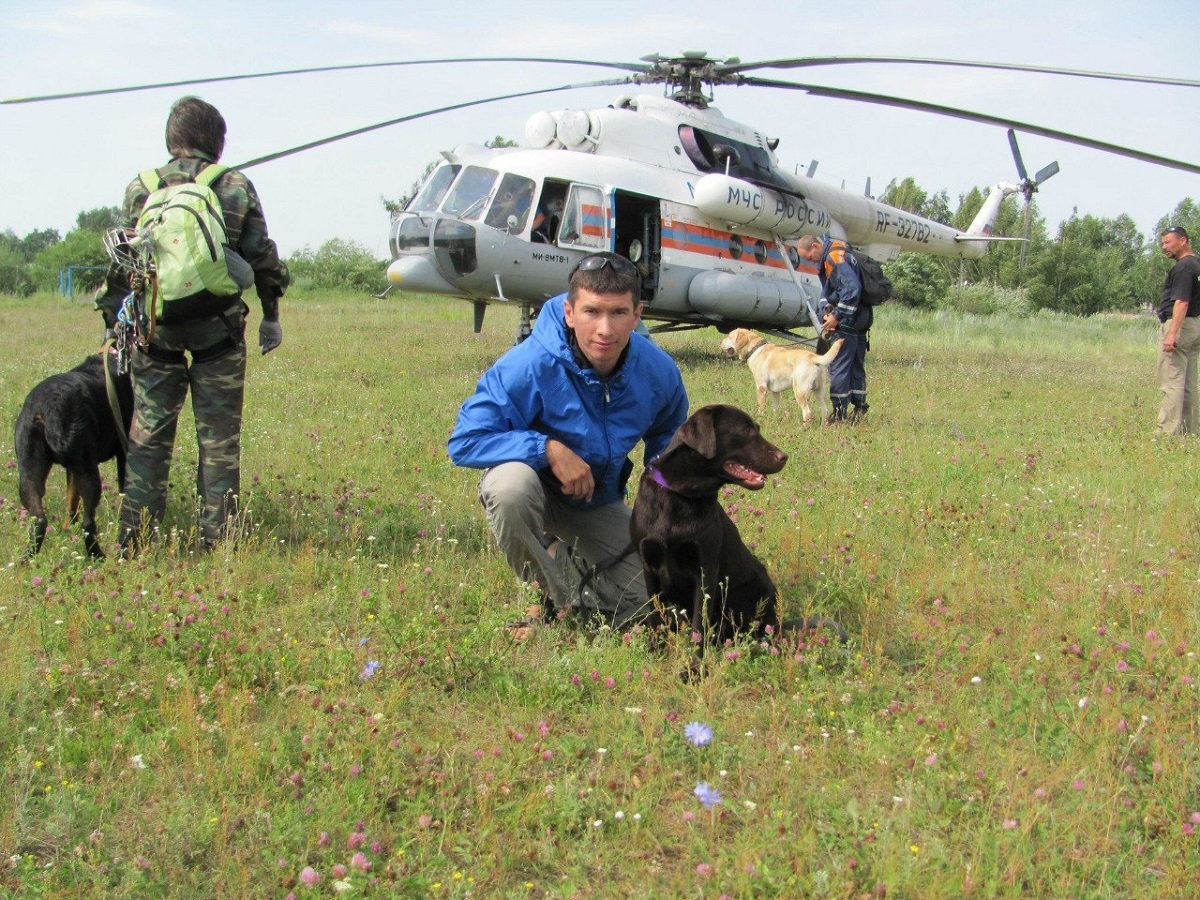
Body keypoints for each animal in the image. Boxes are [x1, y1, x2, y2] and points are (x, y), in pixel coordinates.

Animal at [14, 350, 133, 556]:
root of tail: (50, 410)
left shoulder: (71, 466)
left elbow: (71, 499)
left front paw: (68, 527)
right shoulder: (123, 451)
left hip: (29, 471)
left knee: (39, 519)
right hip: (88, 471)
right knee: (88, 522)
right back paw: (97, 555)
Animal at [633, 408, 849, 648]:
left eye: (757, 429)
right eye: (745, 431)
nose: (783, 457)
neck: (681, 494)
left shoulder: (705, 570)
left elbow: (699, 625)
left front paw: (695, 658)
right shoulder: (649, 567)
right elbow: (656, 619)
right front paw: (657, 650)